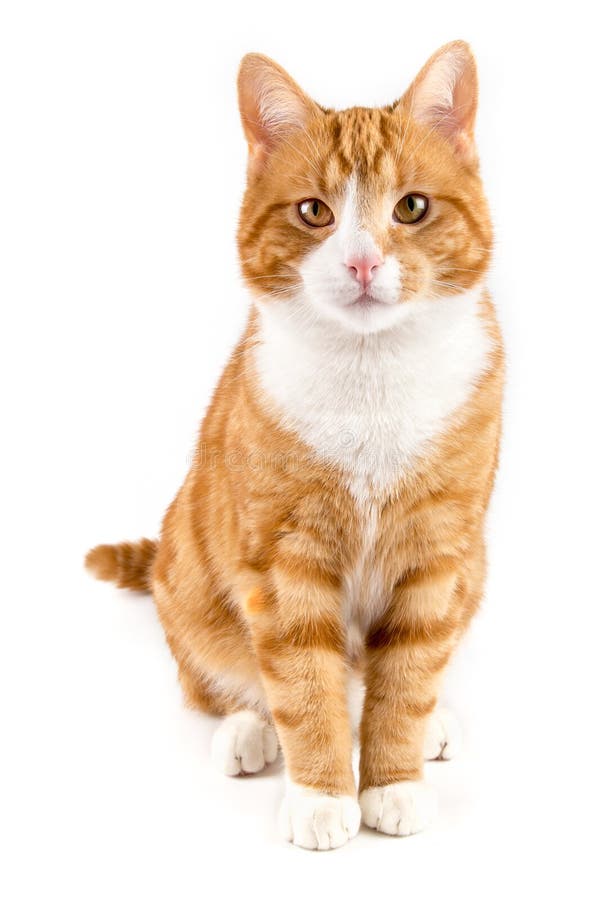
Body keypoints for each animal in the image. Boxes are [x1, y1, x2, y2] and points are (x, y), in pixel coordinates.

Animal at [86, 40, 504, 852]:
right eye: (316, 212)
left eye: (411, 207)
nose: (363, 263)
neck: (373, 377)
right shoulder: (284, 563)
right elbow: (305, 686)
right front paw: (321, 795)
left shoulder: (439, 554)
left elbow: (405, 677)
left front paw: (394, 779)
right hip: (189, 577)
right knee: (219, 682)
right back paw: (250, 731)